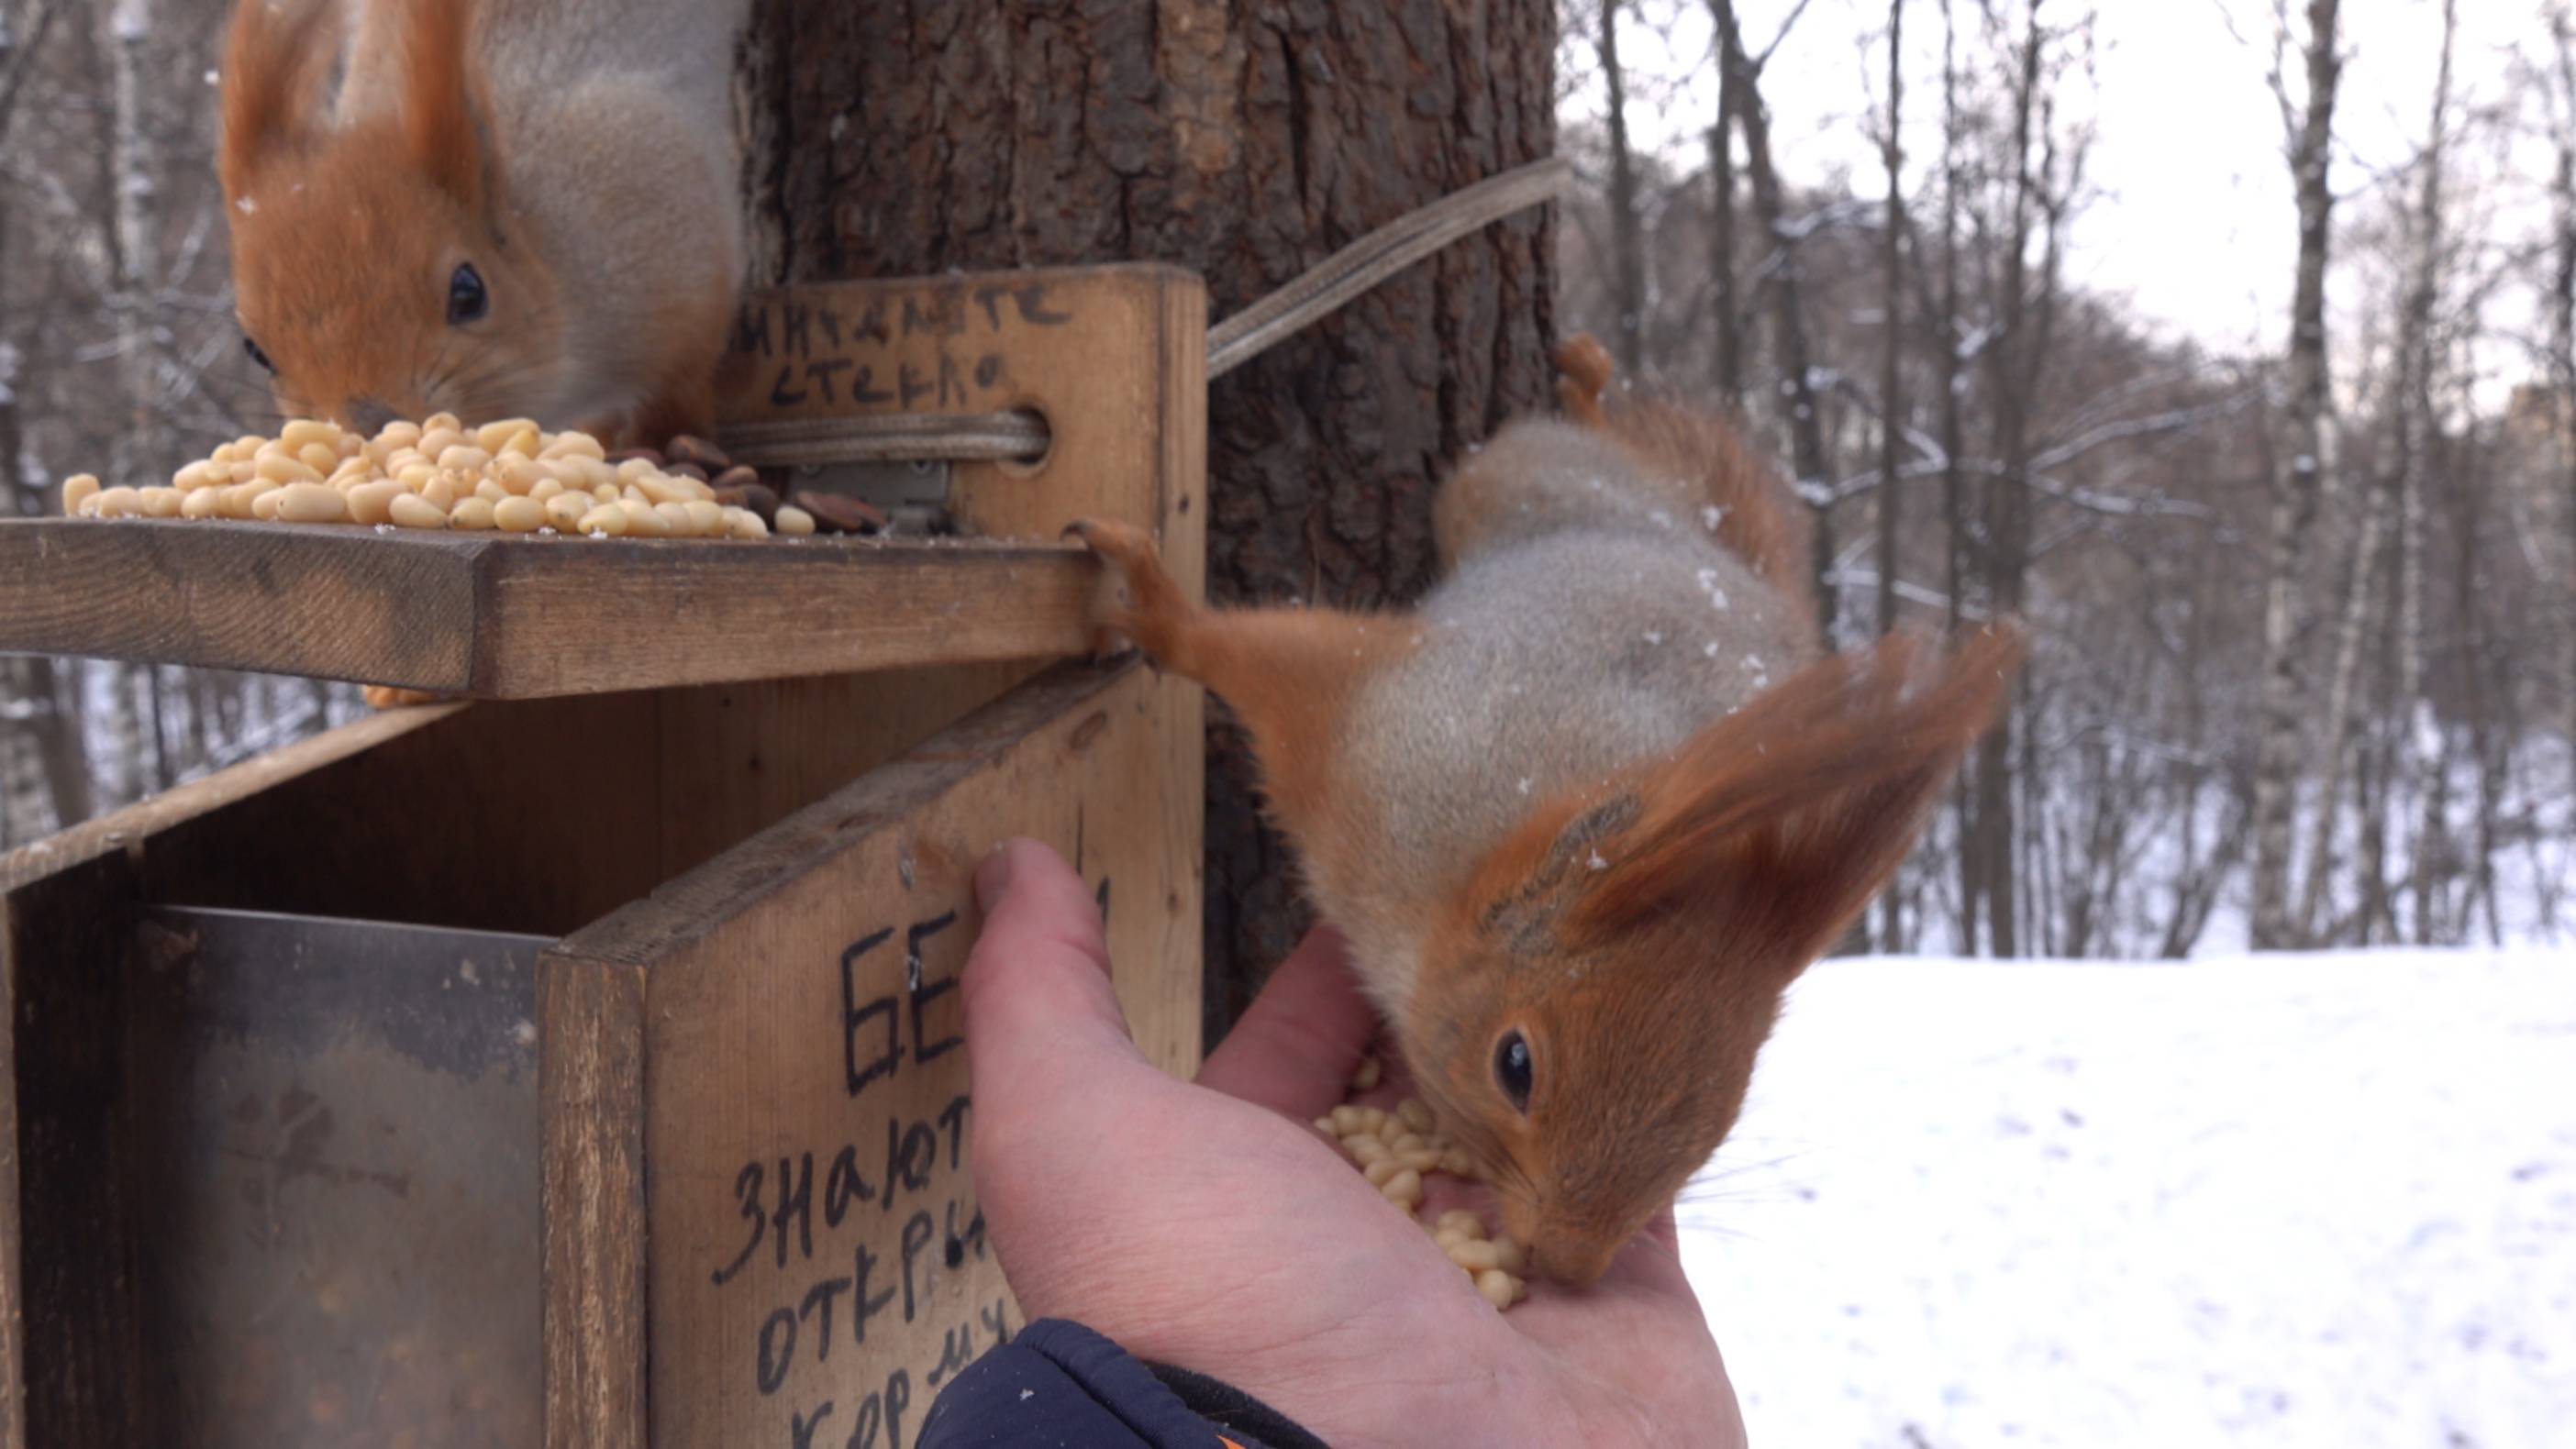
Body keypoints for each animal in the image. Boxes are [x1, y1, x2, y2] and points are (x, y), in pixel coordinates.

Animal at [1076, 342, 2019, 1291]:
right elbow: (1239, 649)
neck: (1451, 881)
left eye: (1721, 1116)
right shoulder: (1367, 733)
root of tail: (1705, 550)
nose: (1566, 1263)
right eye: (1515, 1065)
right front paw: (1152, 604)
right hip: (1507, 481)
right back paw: (1588, 386)